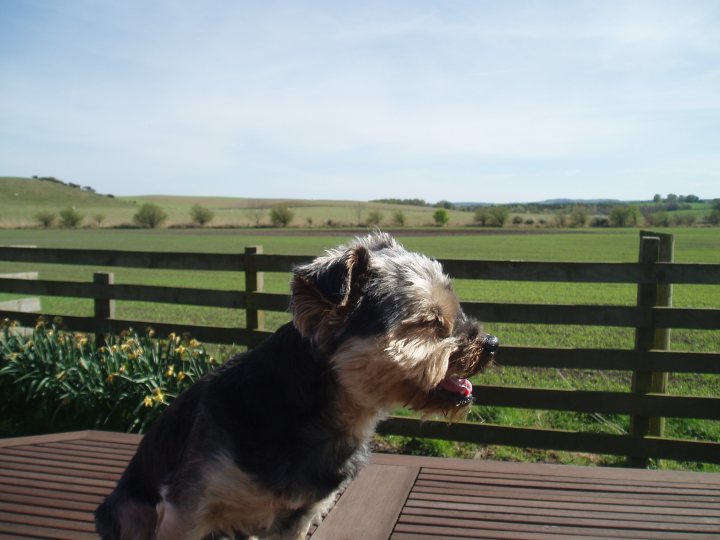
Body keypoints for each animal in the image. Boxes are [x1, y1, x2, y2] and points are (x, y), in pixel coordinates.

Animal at [95, 233, 498, 540]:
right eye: (430, 322)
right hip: (128, 511)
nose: (492, 343)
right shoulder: (187, 509)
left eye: (458, 311)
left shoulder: (300, 516)